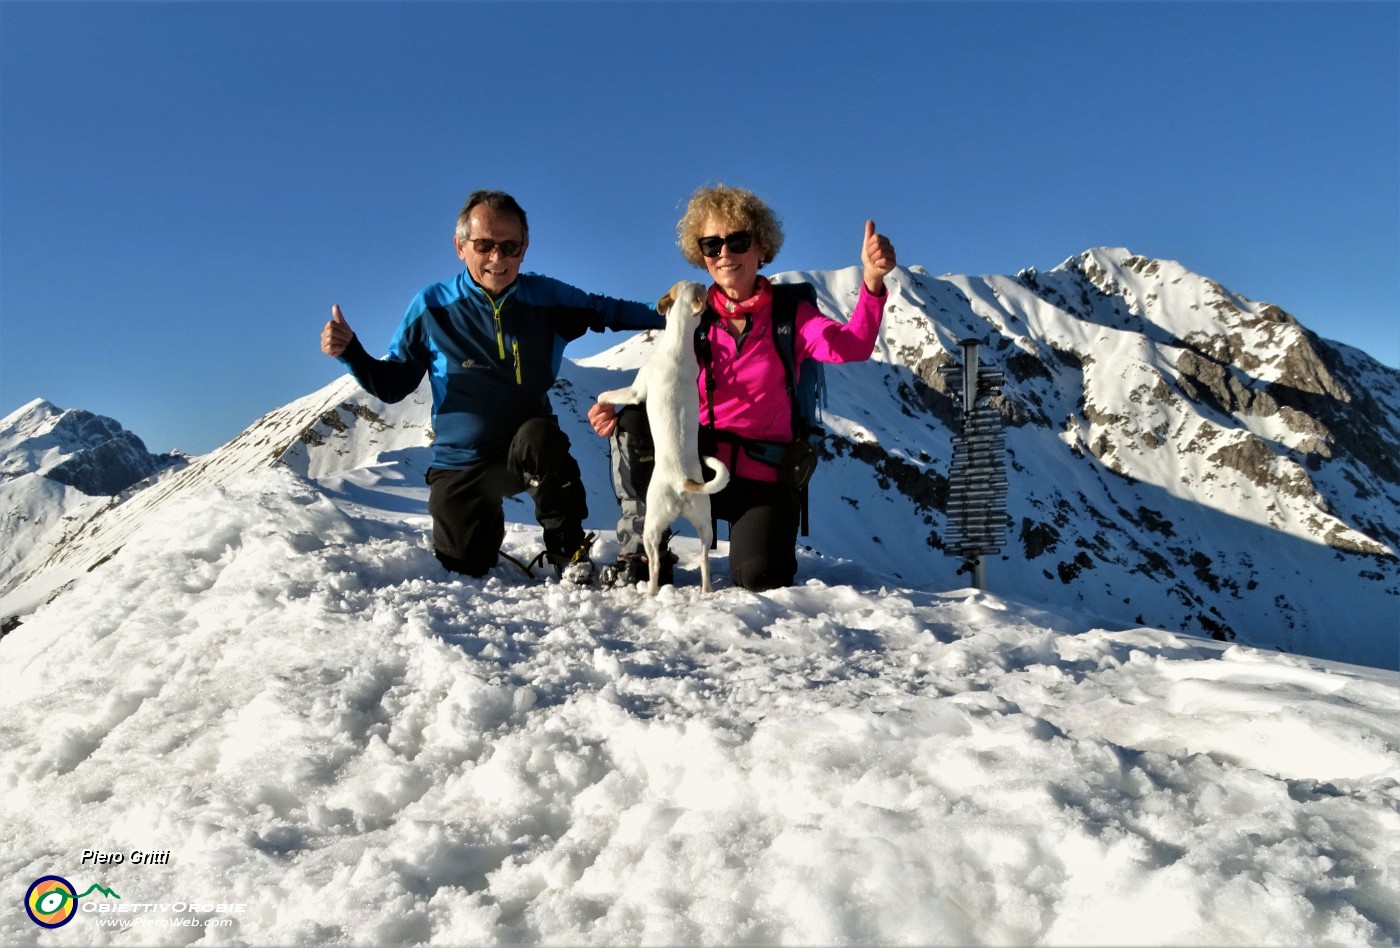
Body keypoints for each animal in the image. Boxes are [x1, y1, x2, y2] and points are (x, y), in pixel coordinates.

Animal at [596, 277, 733, 596]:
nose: (706, 282)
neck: (679, 343)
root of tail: (684, 482)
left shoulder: (636, 391)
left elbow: (615, 394)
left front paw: (603, 400)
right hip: (705, 524)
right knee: (705, 560)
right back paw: (706, 589)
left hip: (652, 524)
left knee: (656, 561)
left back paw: (650, 591)